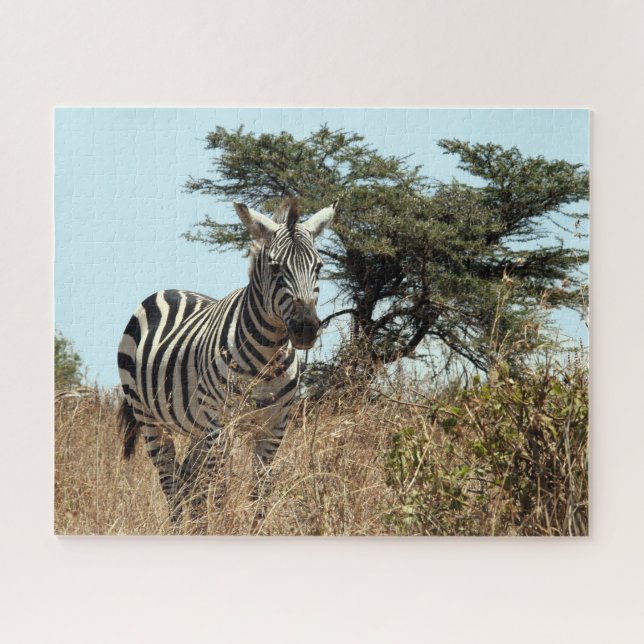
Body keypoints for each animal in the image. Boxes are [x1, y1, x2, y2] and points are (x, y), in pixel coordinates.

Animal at [116, 197, 336, 526]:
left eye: (319, 267)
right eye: (275, 267)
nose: (306, 328)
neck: (267, 358)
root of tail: (166, 290)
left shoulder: (275, 427)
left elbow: (261, 489)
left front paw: (257, 528)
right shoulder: (220, 425)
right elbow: (220, 490)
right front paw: (223, 526)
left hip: (197, 426)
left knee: (188, 480)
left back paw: (196, 527)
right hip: (150, 417)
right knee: (171, 480)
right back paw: (180, 527)